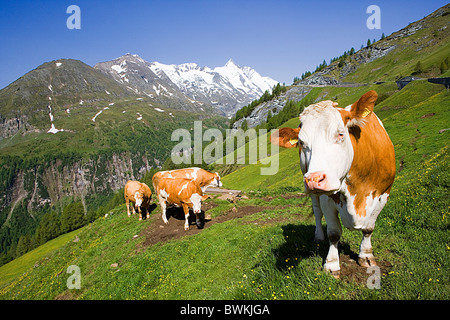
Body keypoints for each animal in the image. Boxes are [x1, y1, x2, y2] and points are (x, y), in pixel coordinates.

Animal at [270, 90, 394, 278]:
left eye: (340, 134)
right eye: (301, 143)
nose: (313, 179)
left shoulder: (383, 194)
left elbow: (368, 228)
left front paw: (366, 256)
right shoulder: (326, 199)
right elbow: (334, 233)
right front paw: (332, 264)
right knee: (316, 212)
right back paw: (319, 236)